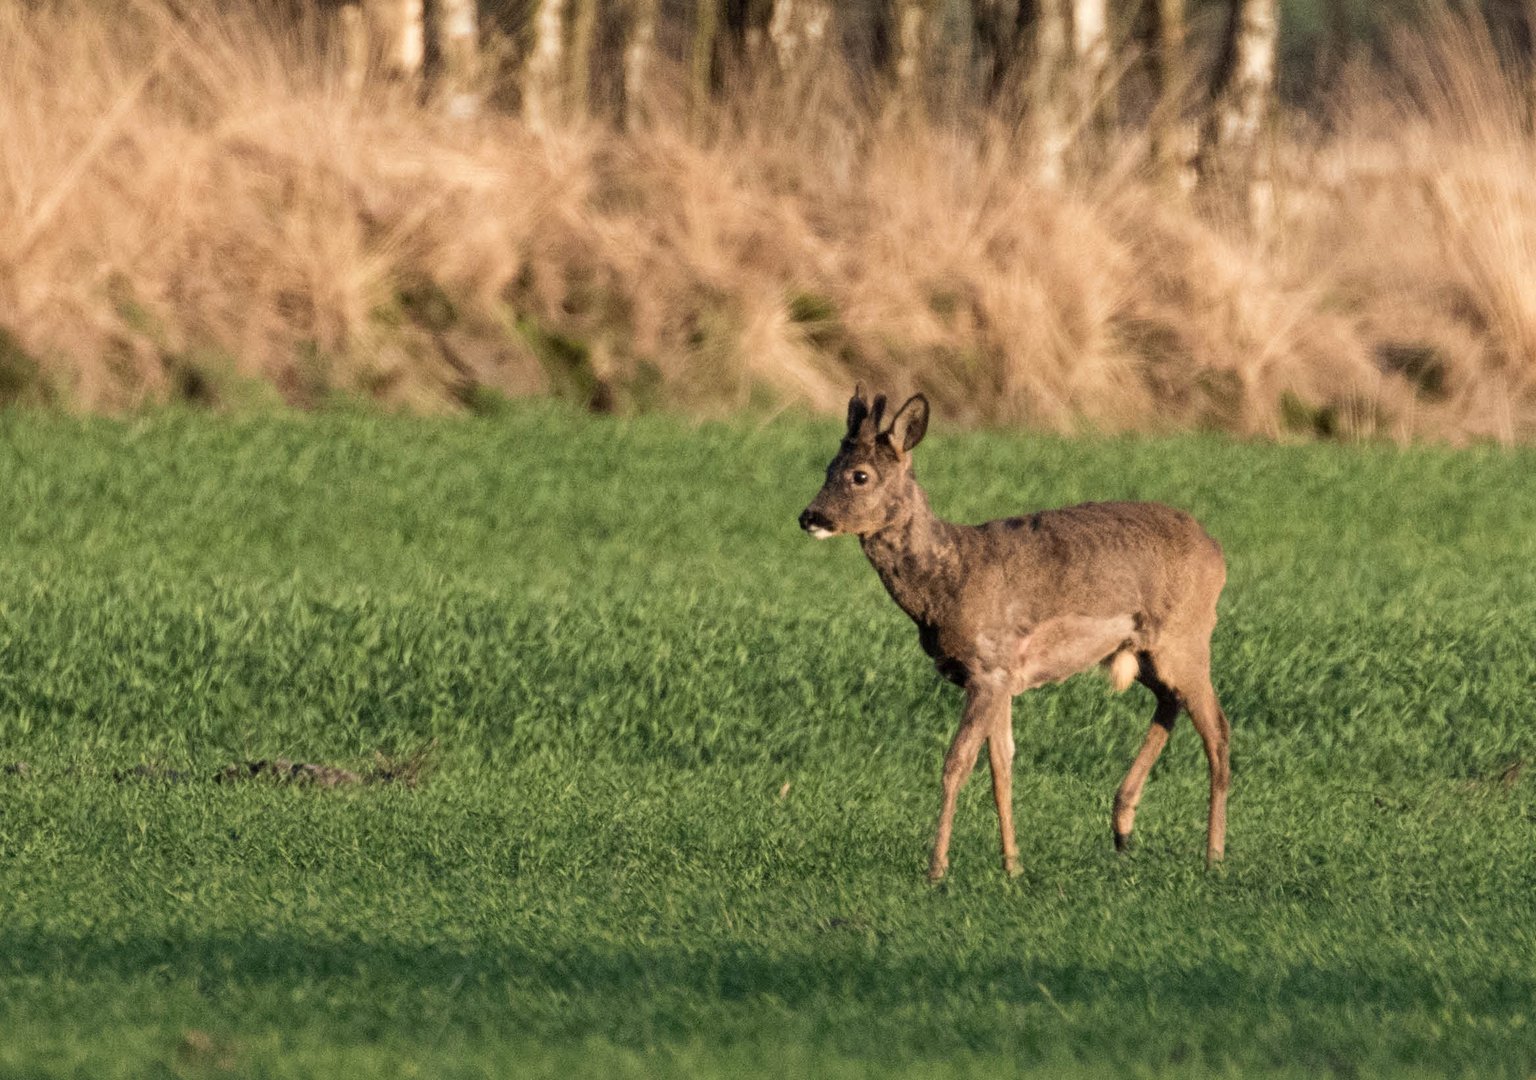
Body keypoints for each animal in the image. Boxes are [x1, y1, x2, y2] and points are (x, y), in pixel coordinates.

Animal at [798, 387, 1228, 878]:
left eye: (860, 475)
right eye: (828, 467)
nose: (810, 516)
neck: (950, 579)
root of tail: (1217, 552)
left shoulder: (987, 667)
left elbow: (957, 762)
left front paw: (936, 869)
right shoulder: (1003, 677)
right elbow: (1001, 764)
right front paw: (1012, 865)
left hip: (1186, 636)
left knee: (1218, 731)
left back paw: (1213, 856)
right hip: (1146, 651)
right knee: (1171, 702)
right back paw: (1122, 828)